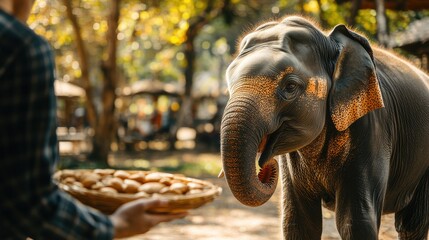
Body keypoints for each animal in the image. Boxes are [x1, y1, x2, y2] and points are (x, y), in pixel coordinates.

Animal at [221, 15, 428, 239]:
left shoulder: (371, 127)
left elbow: (356, 222)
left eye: (290, 87)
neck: (329, 41)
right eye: (229, 85)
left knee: (413, 223)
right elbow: (298, 223)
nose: (265, 167)